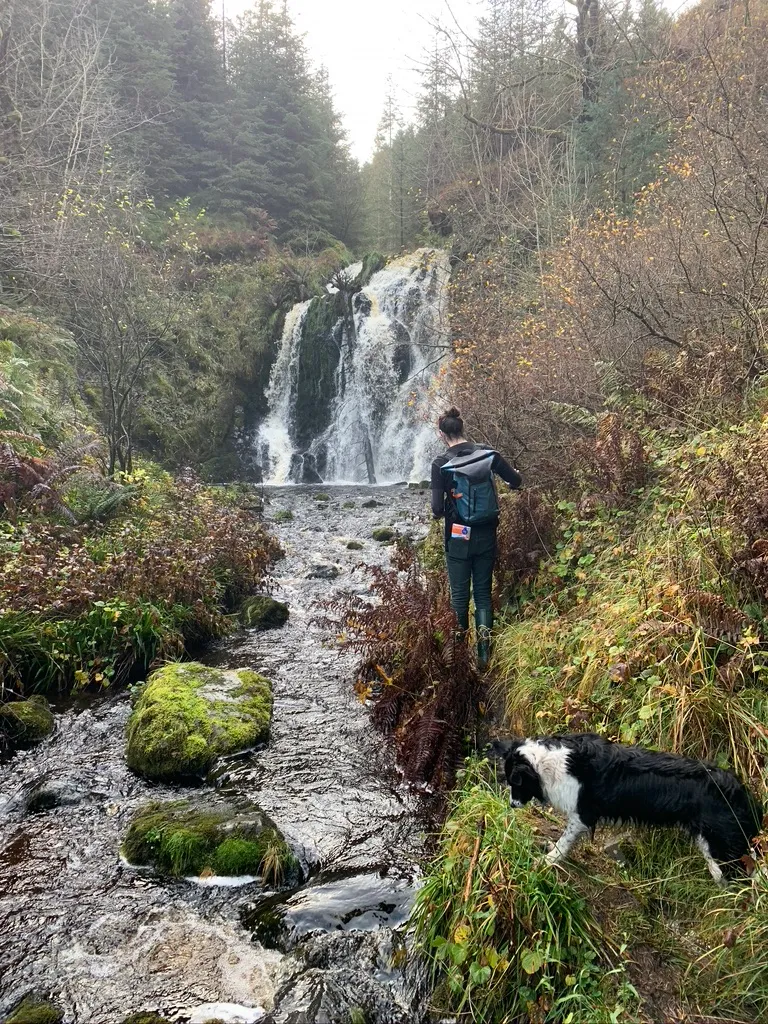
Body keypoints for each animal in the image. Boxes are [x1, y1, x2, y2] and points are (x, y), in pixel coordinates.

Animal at [493, 733, 765, 884]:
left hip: (721, 849)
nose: (511, 805)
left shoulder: (581, 815)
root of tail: (743, 793)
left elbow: (564, 841)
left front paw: (549, 860)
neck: (546, 764)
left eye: (515, 783)